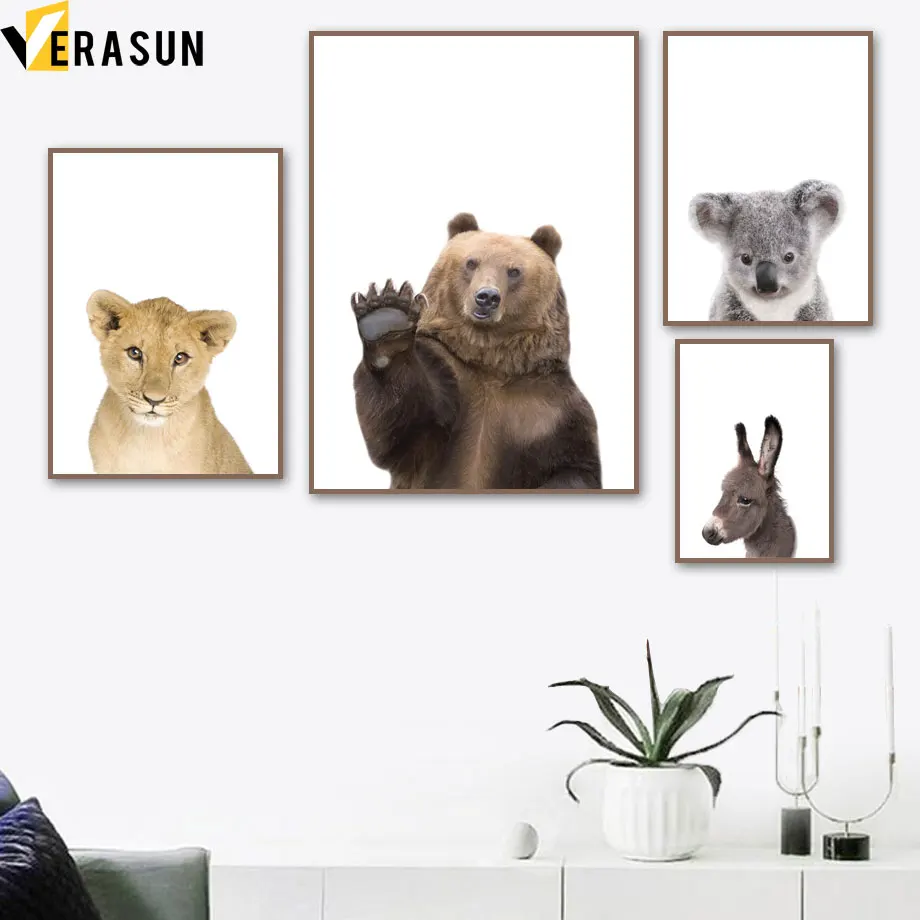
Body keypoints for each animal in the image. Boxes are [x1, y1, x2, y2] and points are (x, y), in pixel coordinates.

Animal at [350, 213, 601, 490]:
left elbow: (575, 466)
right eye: (471, 262)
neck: (490, 359)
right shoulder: (446, 374)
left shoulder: (550, 407)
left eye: (514, 271)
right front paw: (386, 317)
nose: (487, 297)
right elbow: (400, 431)